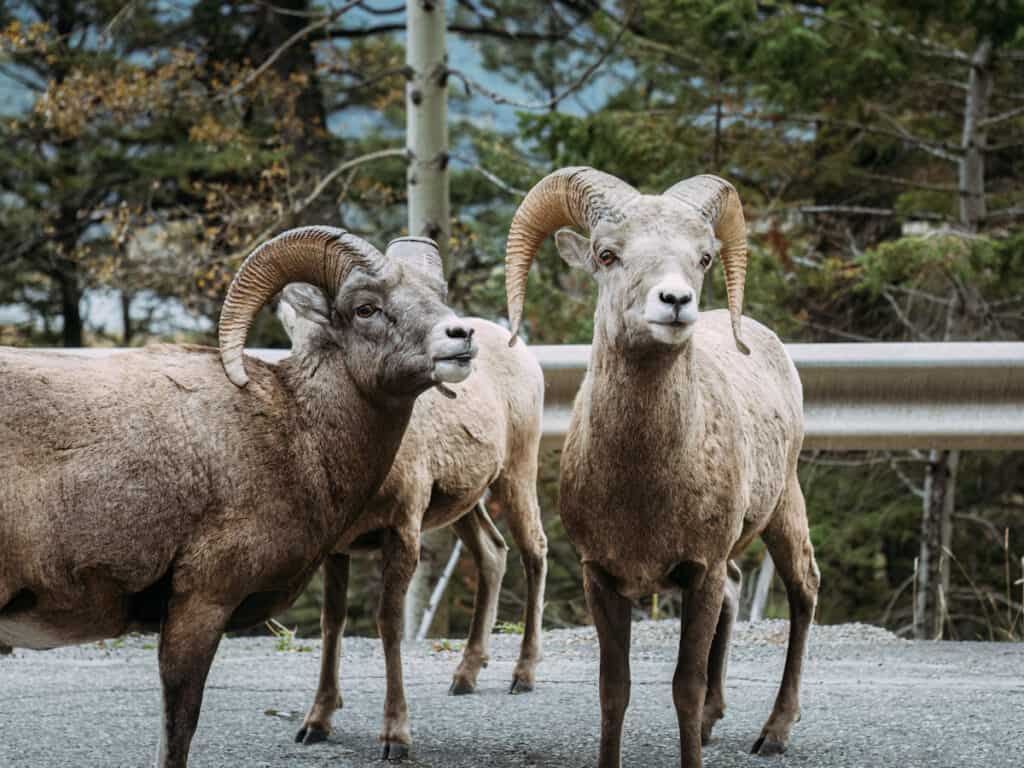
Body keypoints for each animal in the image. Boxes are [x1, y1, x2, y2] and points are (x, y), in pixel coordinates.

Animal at [0, 230, 477, 768]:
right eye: (365, 308)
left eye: (437, 293)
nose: (461, 336)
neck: (296, 429)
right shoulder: (203, 602)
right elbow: (179, 729)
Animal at [280, 296, 548, 761]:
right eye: (296, 340)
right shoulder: (337, 548)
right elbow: (333, 621)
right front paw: (316, 723)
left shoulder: (402, 532)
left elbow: (389, 624)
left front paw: (395, 738)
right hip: (465, 504)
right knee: (493, 553)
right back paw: (464, 677)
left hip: (516, 474)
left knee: (534, 551)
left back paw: (522, 675)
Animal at [505, 167, 823, 768]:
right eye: (607, 254)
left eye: (703, 257)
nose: (675, 301)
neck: (643, 487)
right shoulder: (603, 580)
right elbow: (614, 691)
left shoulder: (699, 573)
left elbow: (684, 687)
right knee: (738, 592)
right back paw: (716, 720)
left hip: (784, 509)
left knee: (804, 591)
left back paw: (774, 733)